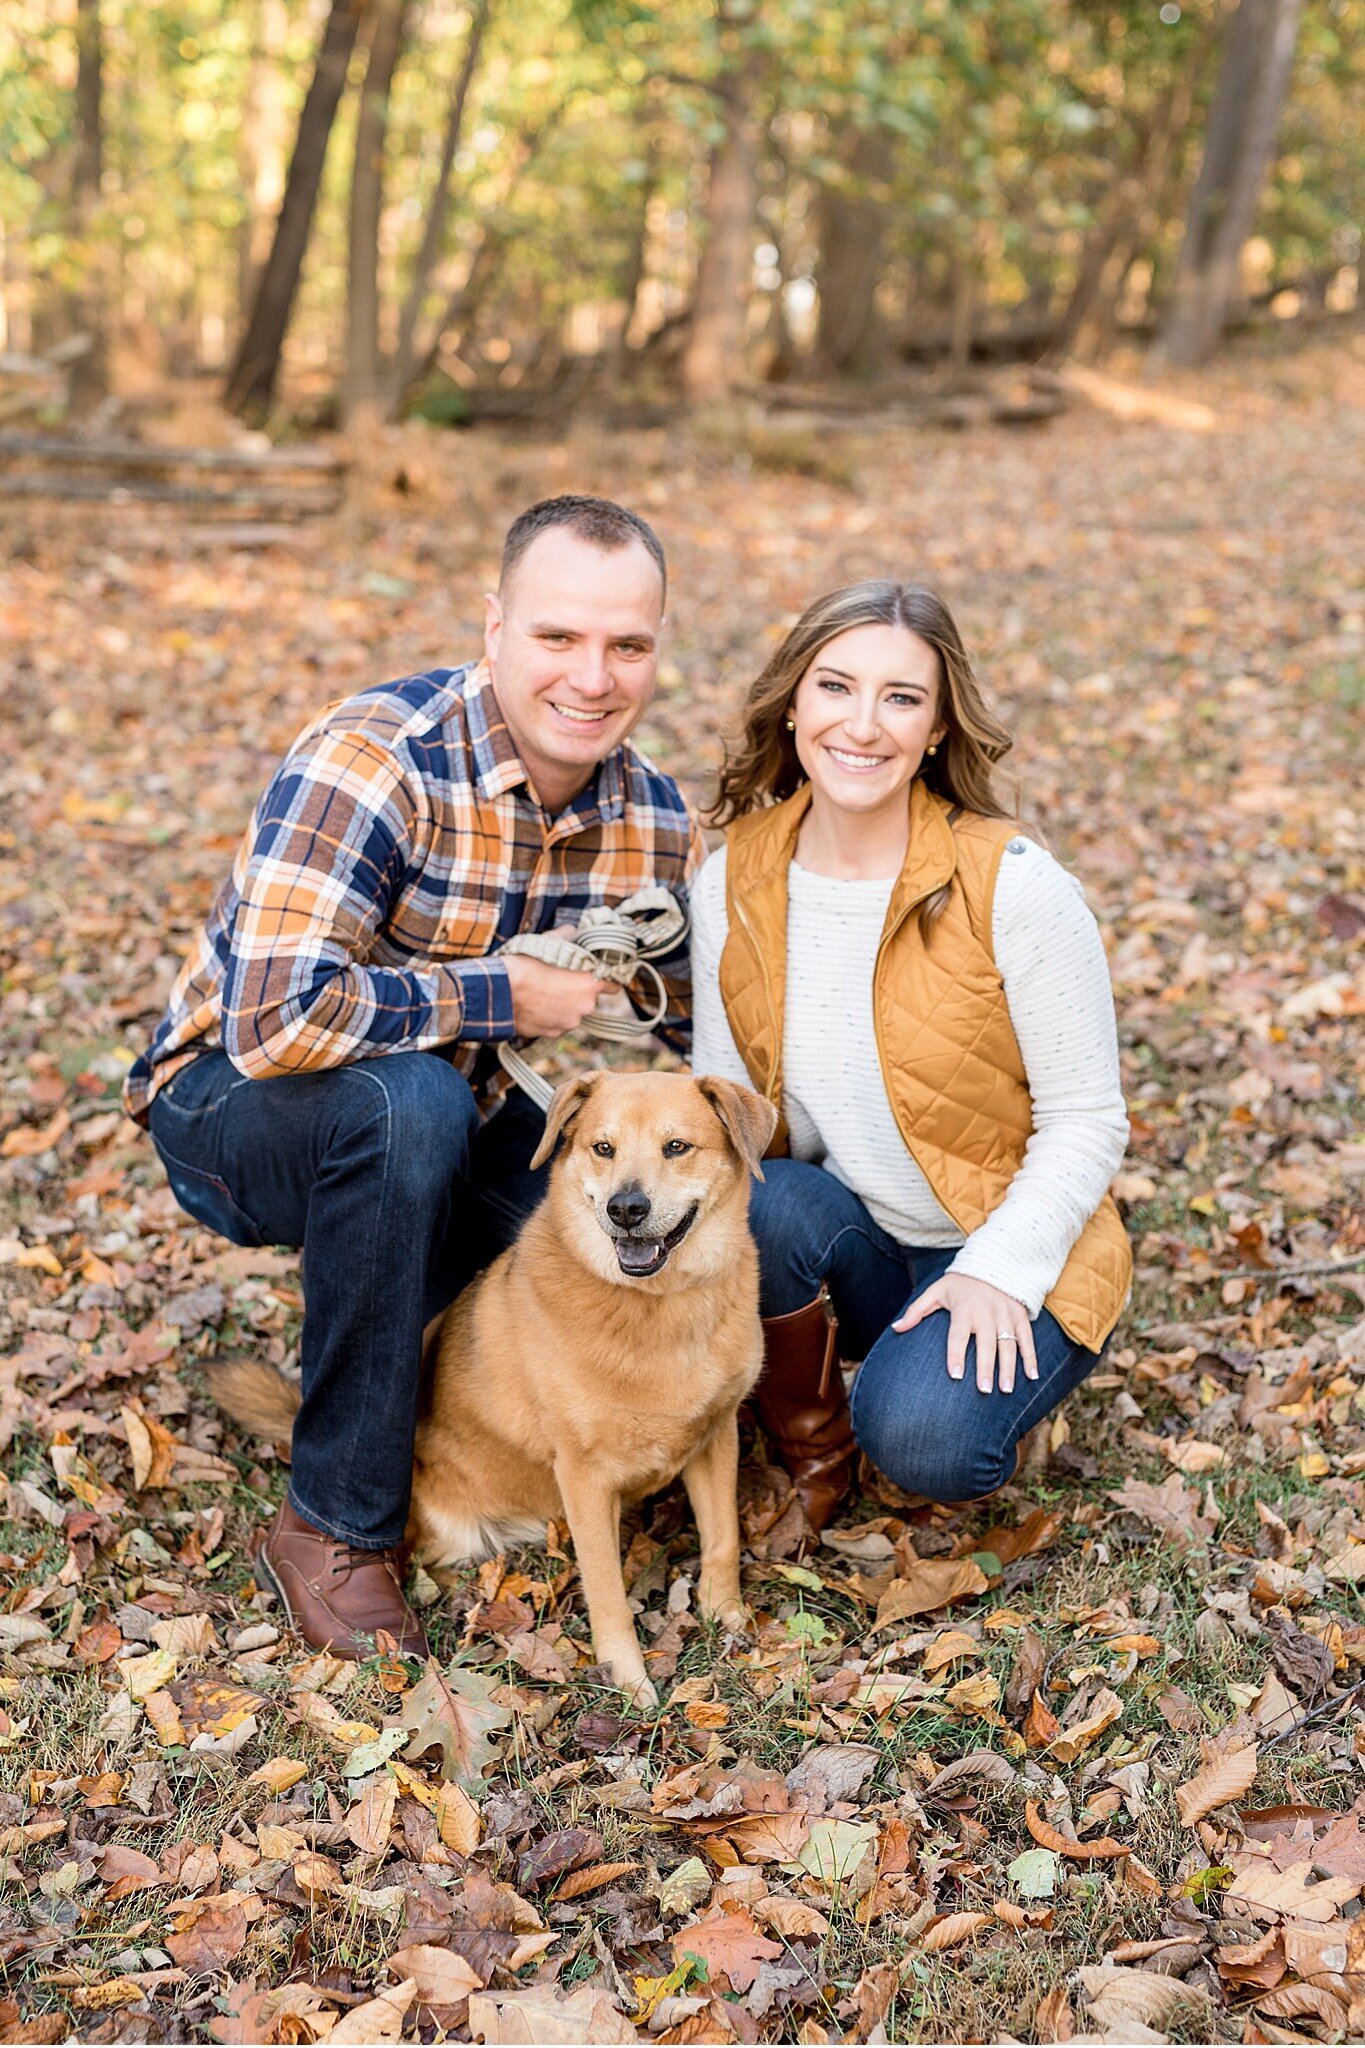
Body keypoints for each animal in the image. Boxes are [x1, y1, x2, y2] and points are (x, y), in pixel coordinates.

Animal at [222, 1064, 777, 1703]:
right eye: (603, 1148)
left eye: (677, 1147)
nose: (626, 1209)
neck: (658, 1307)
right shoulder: (585, 1477)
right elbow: (607, 1589)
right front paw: (627, 1679)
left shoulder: (716, 1436)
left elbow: (723, 1536)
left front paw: (726, 1613)